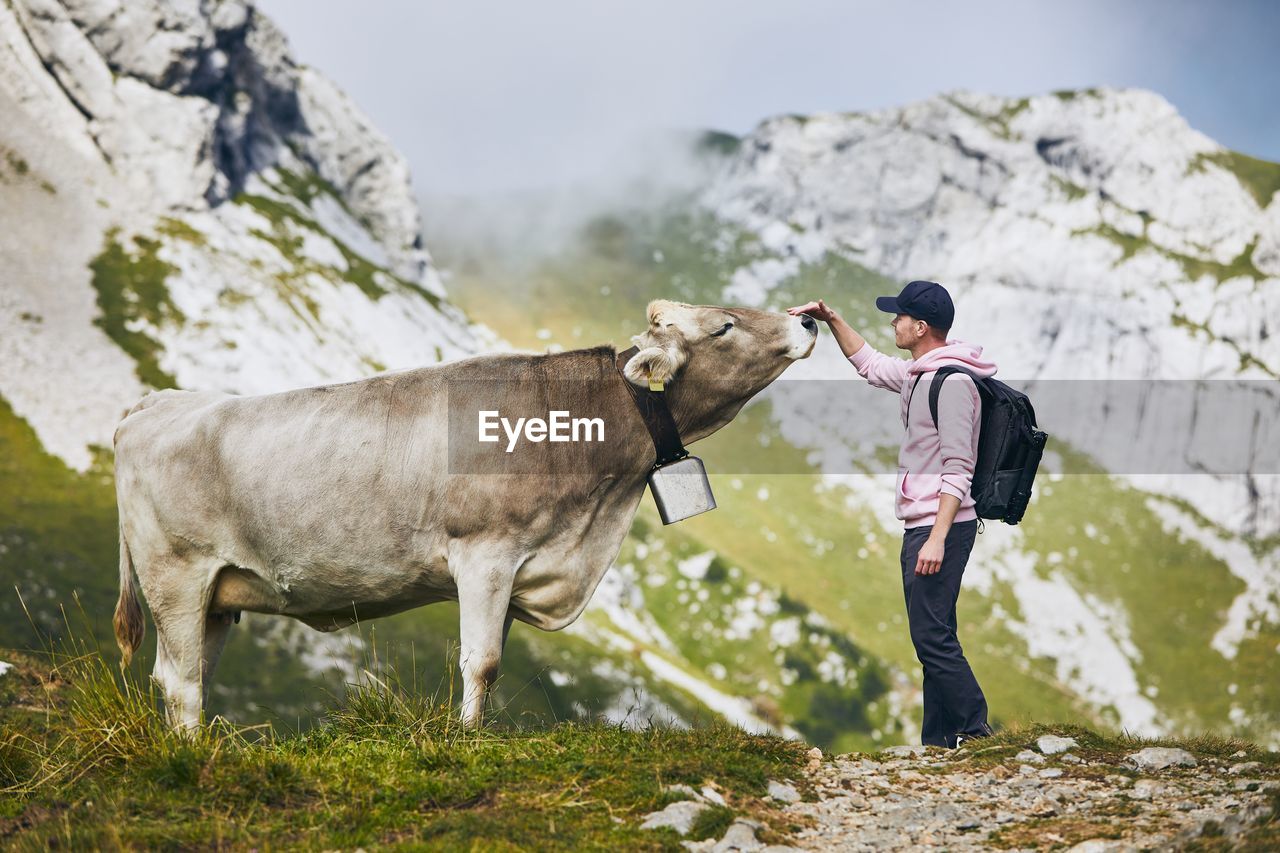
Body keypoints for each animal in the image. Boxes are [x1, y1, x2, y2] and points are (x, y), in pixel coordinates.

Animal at [117, 297, 819, 722]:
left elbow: (495, 665)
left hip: (219, 595)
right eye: (724, 326)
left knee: (187, 675)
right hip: (176, 577)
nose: (807, 321)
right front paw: (467, 739)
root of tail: (157, 402)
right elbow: (480, 663)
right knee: (179, 682)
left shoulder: (521, 567)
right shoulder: (486, 554)